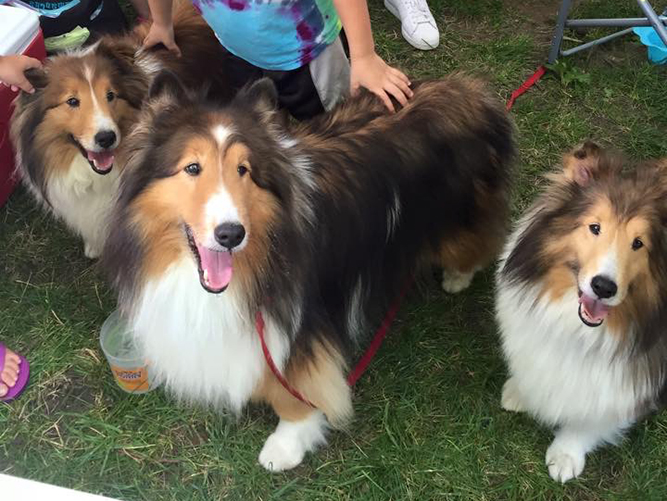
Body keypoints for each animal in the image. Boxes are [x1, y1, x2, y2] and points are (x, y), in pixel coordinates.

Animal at [102, 69, 516, 468]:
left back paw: (458, 277)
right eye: (192, 167)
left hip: (457, 219)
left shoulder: (300, 326)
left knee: (479, 241)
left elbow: (297, 390)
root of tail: (467, 91)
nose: (231, 234)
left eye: (243, 170)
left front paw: (286, 445)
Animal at [498, 141, 667, 480]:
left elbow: (593, 417)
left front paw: (565, 455)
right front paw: (520, 393)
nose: (603, 286)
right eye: (595, 227)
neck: (578, 329)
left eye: (638, 243)